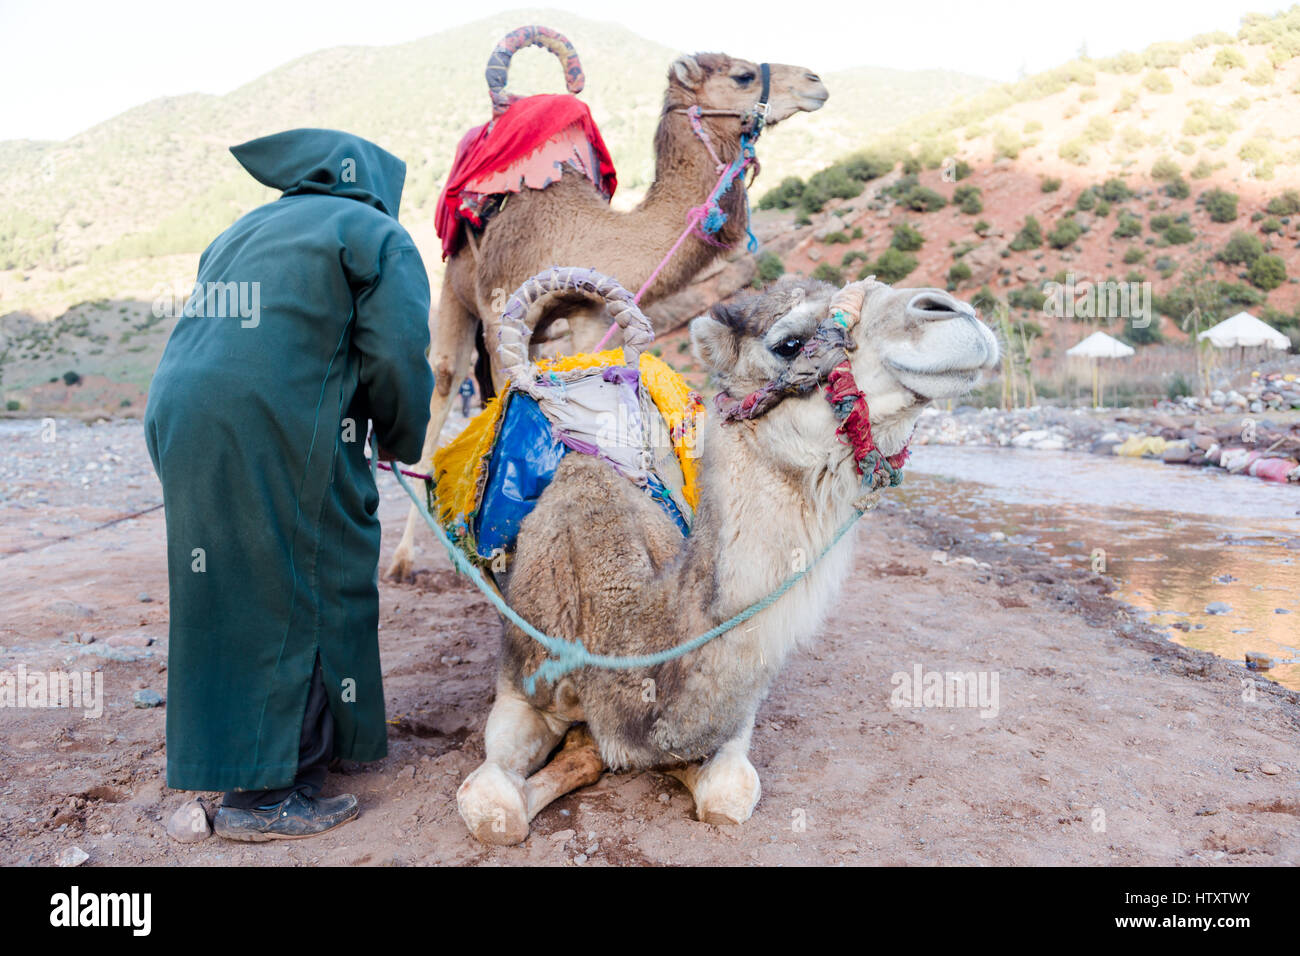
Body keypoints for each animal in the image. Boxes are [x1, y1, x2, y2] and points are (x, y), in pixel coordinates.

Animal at [379, 52, 826, 580]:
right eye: (742, 75)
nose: (816, 81)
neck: (578, 231)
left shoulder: (588, 314)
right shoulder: (497, 306)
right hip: (452, 286)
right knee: (445, 384)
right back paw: (408, 556)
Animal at [452, 277, 998, 842]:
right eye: (789, 343)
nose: (955, 314)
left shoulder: (735, 712)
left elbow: (726, 792)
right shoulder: (519, 686)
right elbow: (493, 808)